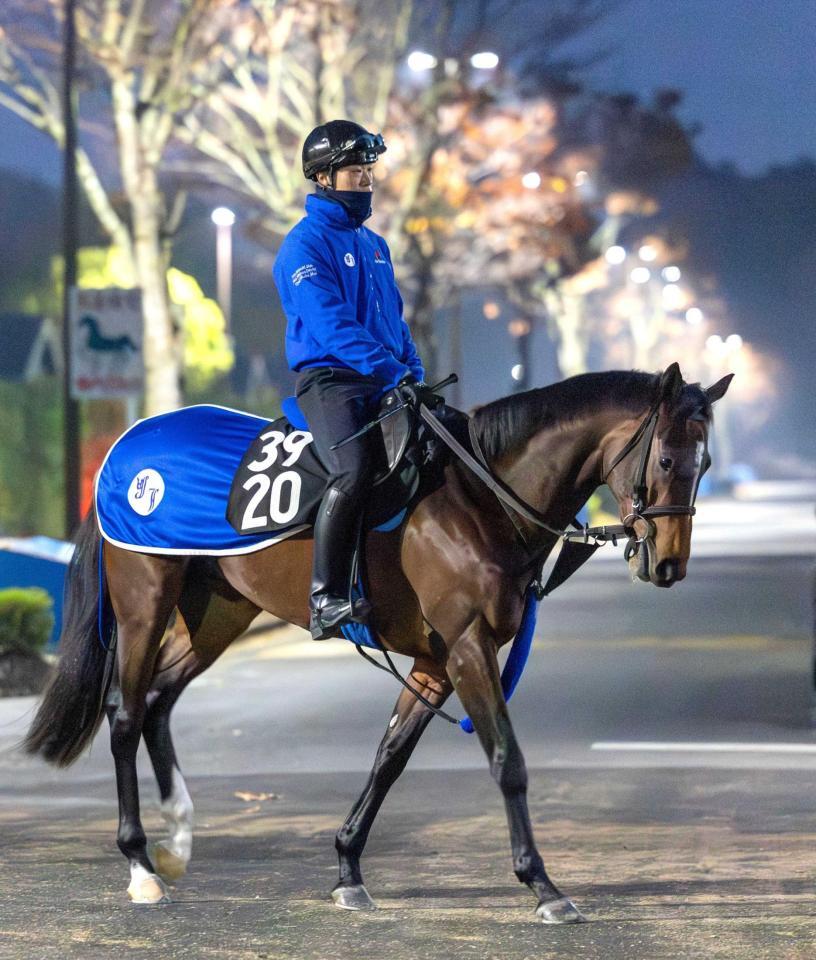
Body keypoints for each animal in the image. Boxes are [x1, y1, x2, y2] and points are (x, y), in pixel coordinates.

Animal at [23, 363, 731, 923]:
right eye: (667, 459)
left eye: (705, 464)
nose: (669, 564)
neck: (478, 496)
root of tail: (125, 446)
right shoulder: (468, 648)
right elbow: (507, 760)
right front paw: (543, 885)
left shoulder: (435, 660)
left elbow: (390, 758)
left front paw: (348, 869)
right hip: (144, 601)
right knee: (125, 713)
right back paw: (141, 865)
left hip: (219, 610)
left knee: (159, 702)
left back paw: (177, 839)